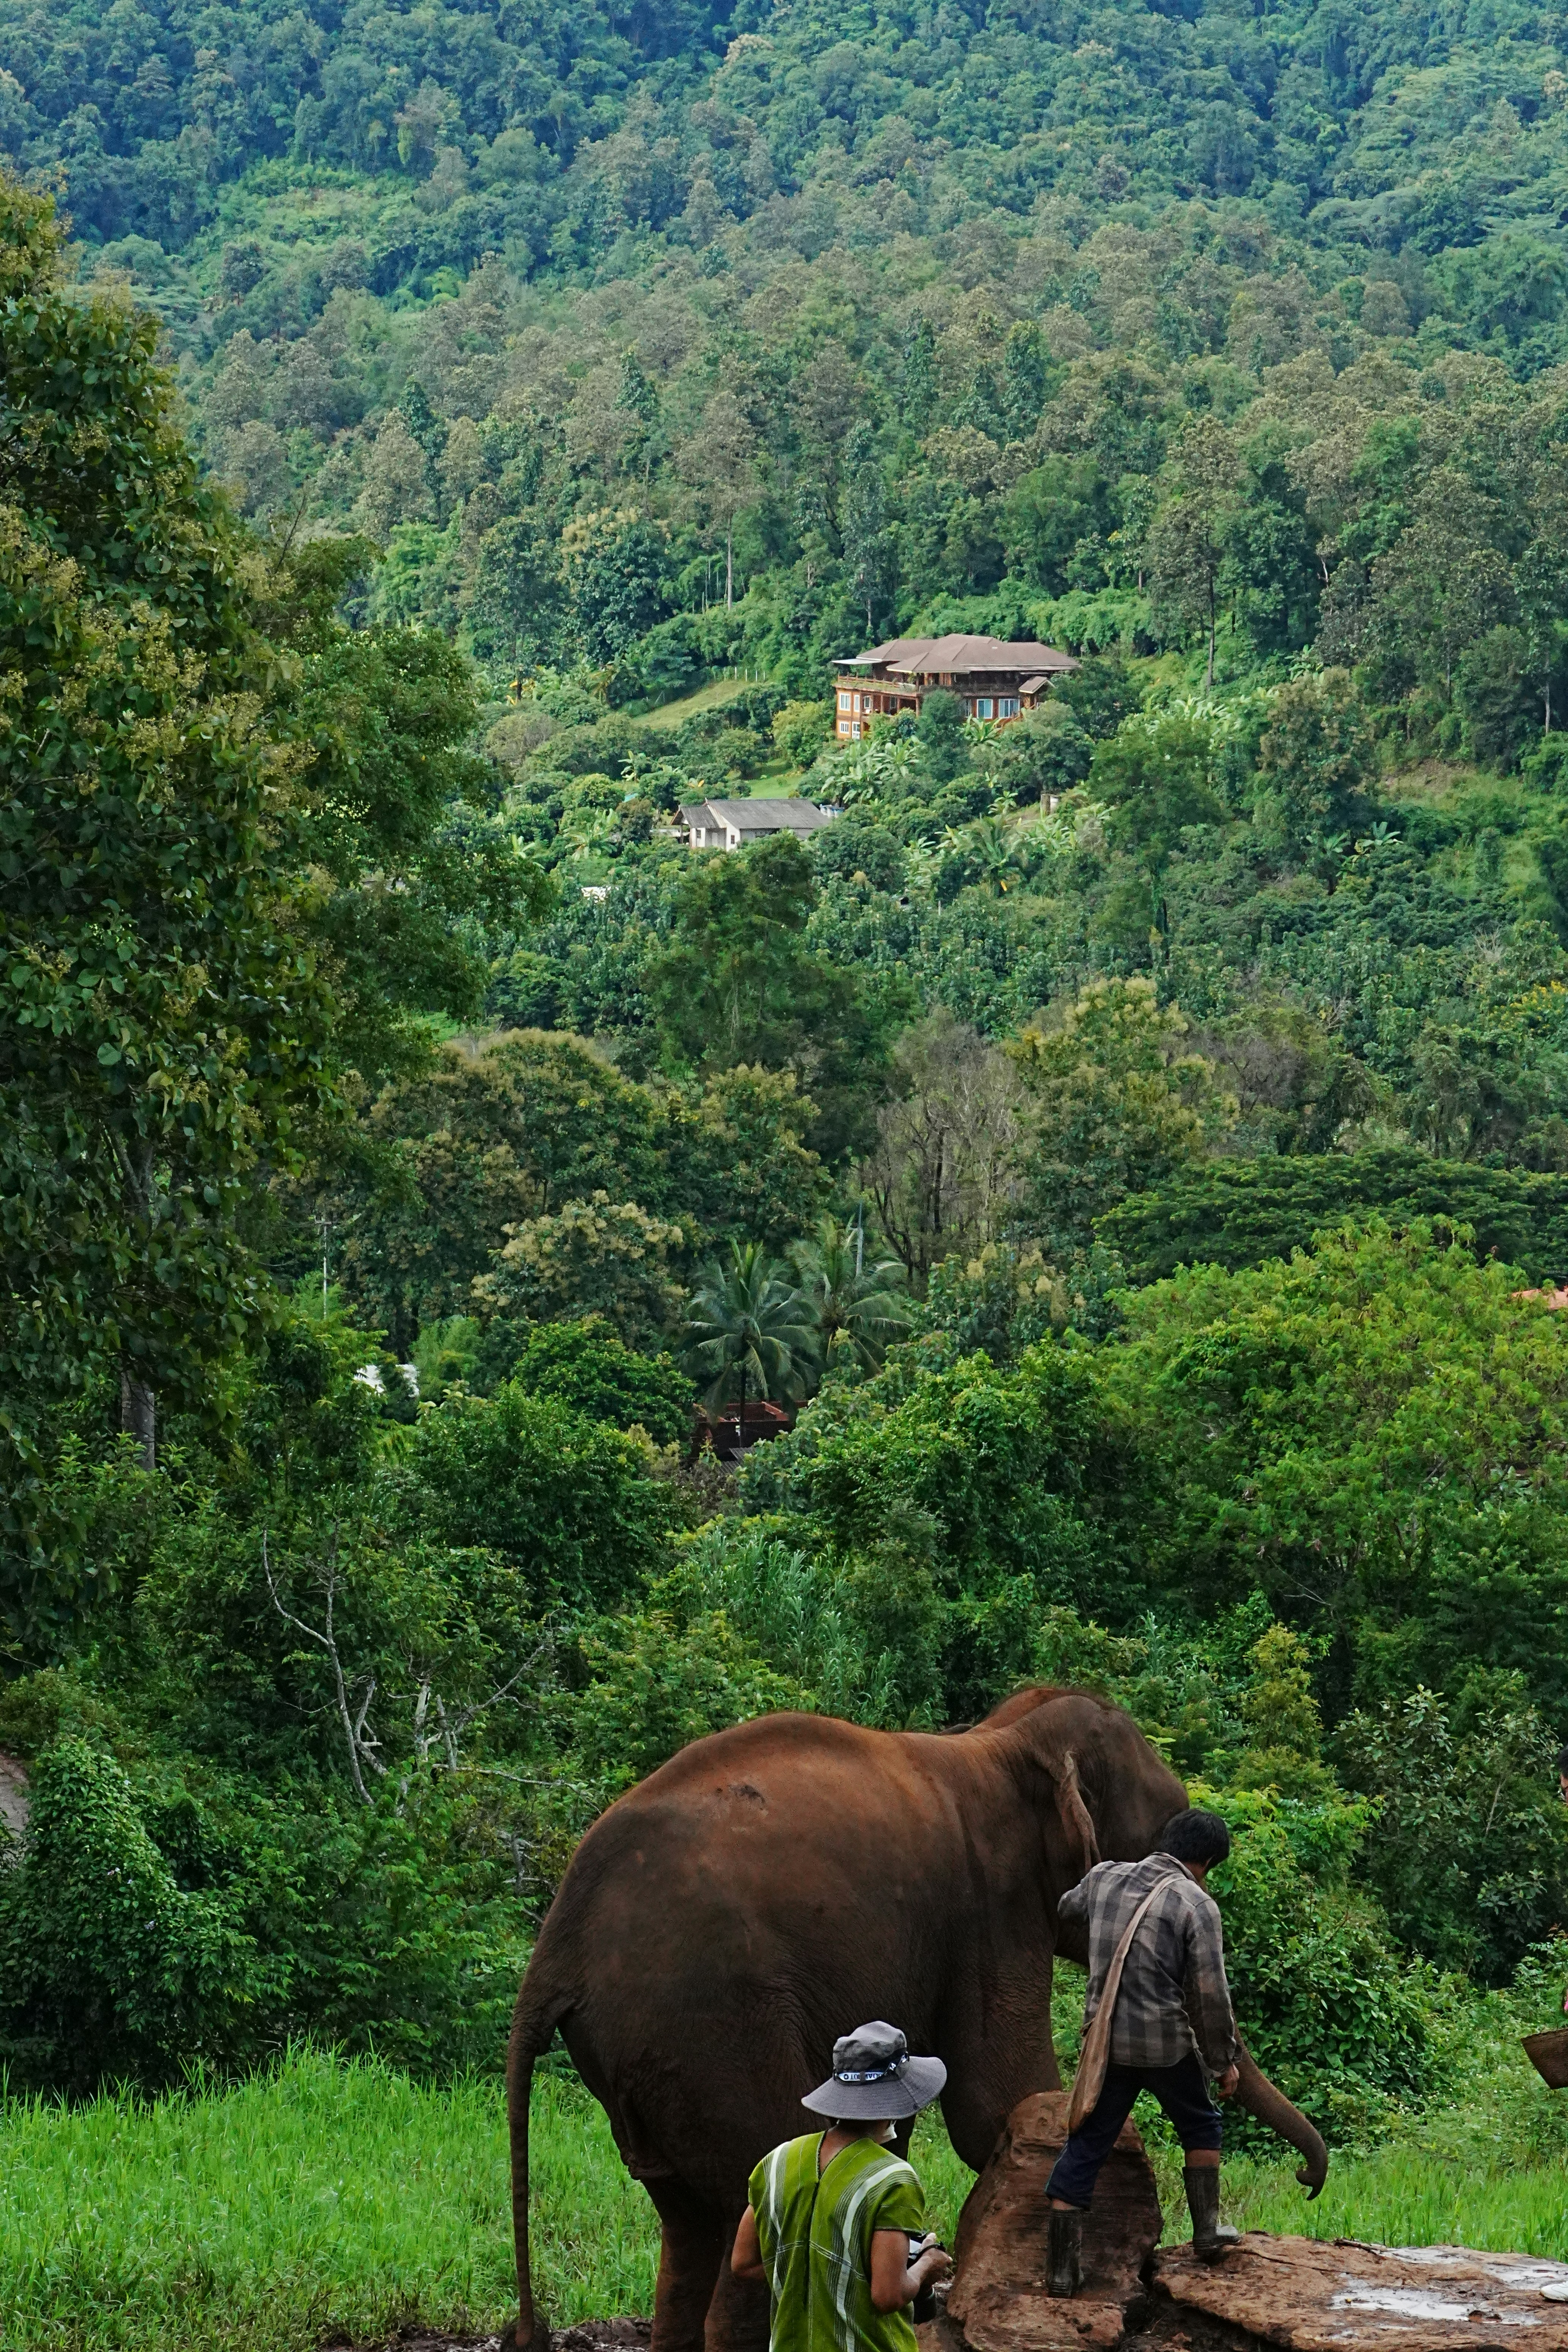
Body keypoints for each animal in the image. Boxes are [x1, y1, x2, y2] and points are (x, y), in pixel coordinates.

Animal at [505, 1687, 1327, 2352]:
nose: (1307, 2178)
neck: (1003, 1737)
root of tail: (554, 1950)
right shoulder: (993, 1907)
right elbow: (996, 2103)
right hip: (705, 2022)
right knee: (760, 2175)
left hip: (644, 2055)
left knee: (686, 2223)